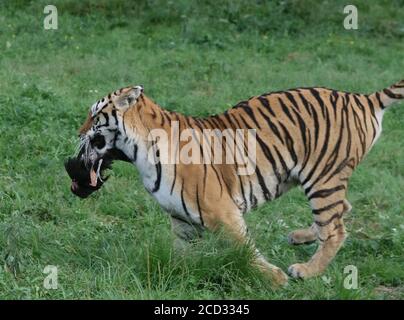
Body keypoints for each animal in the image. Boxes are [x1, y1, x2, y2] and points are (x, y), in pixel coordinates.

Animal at [64, 80, 402, 284]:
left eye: (94, 115)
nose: (77, 132)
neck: (139, 153)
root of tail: (361, 98)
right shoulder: (181, 221)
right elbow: (179, 255)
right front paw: (174, 274)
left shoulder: (221, 211)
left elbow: (245, 248)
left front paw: (275, 278)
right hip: (324, 180)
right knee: (340, 211)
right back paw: (299, 238)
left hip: (323, 177)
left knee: (335, 228)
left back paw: (305, 270)